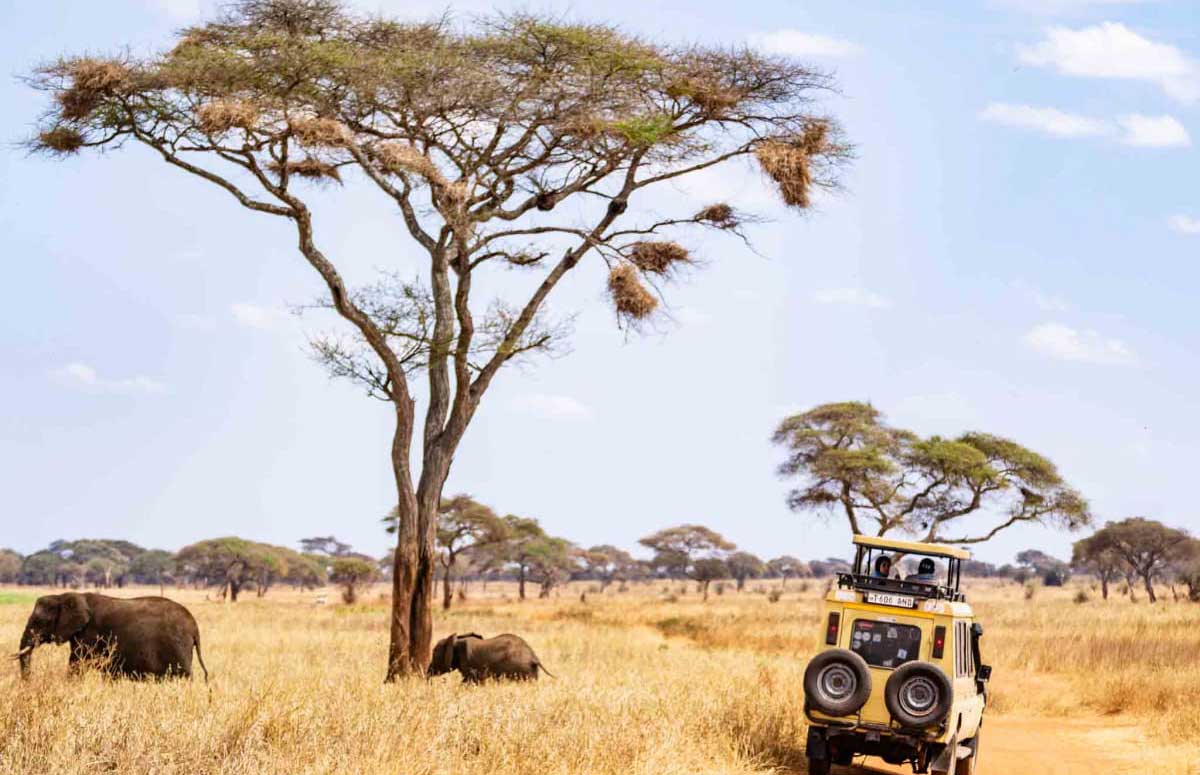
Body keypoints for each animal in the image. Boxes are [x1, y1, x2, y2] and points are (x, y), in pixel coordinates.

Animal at [13, 592, 208, 681]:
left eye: (39, 622)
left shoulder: (89, 634)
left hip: (178, 647)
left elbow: (77, 662)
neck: (64, 596)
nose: (27, 684)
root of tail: (195, 627)